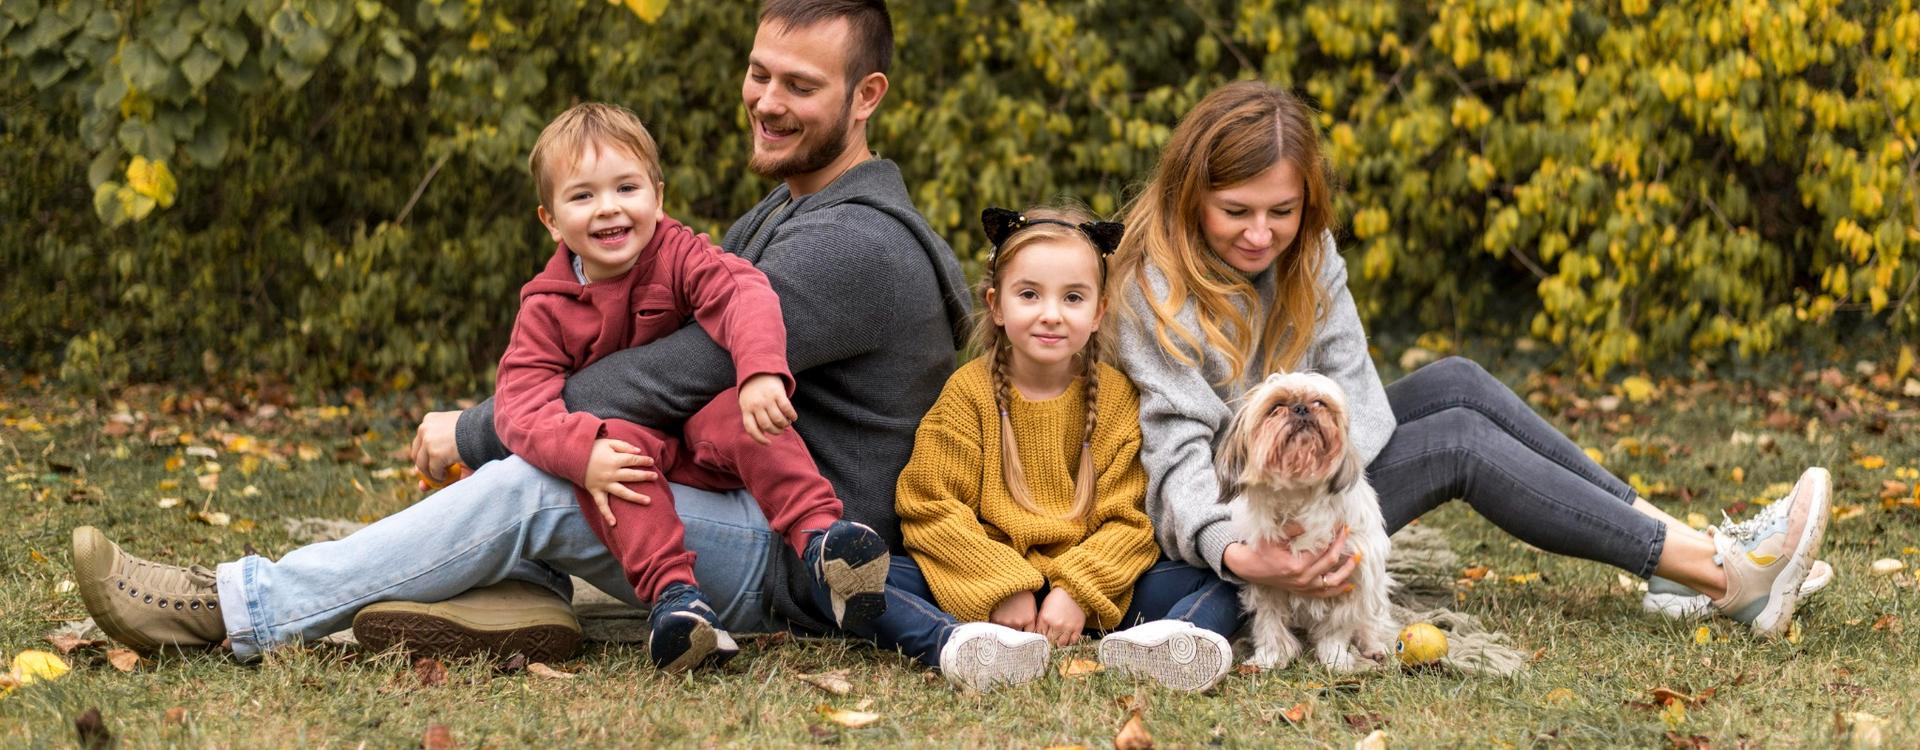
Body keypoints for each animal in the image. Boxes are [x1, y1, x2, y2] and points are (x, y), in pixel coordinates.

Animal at [1213, 372, 1397, 671]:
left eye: (1320, 402)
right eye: (1276, 406)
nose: (1301, 408)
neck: (1298, 493)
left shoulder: (1351, 576)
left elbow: (1337, 628)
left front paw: (1335, 658)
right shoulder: (1267, 578)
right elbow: (1270, 624)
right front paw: (1270, 657)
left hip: (1373, 588)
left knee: (1371, 620)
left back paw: (1374, 646)